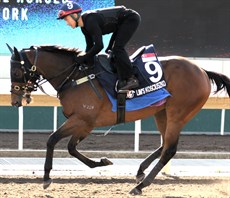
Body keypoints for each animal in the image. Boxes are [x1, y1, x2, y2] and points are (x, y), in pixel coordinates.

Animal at [8, 44, 229, 195]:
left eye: (17, 71)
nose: (15, 100)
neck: (75, 77)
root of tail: (202, 71)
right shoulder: (86, 123)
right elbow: (71, 148)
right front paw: (102, 162)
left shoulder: (82, 119)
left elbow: (52, 139)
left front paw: (46, 177)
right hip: (162, 112)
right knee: (165, 144)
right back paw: (140, 171)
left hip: (178, 112)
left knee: (170, 149)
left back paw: (140, 186)